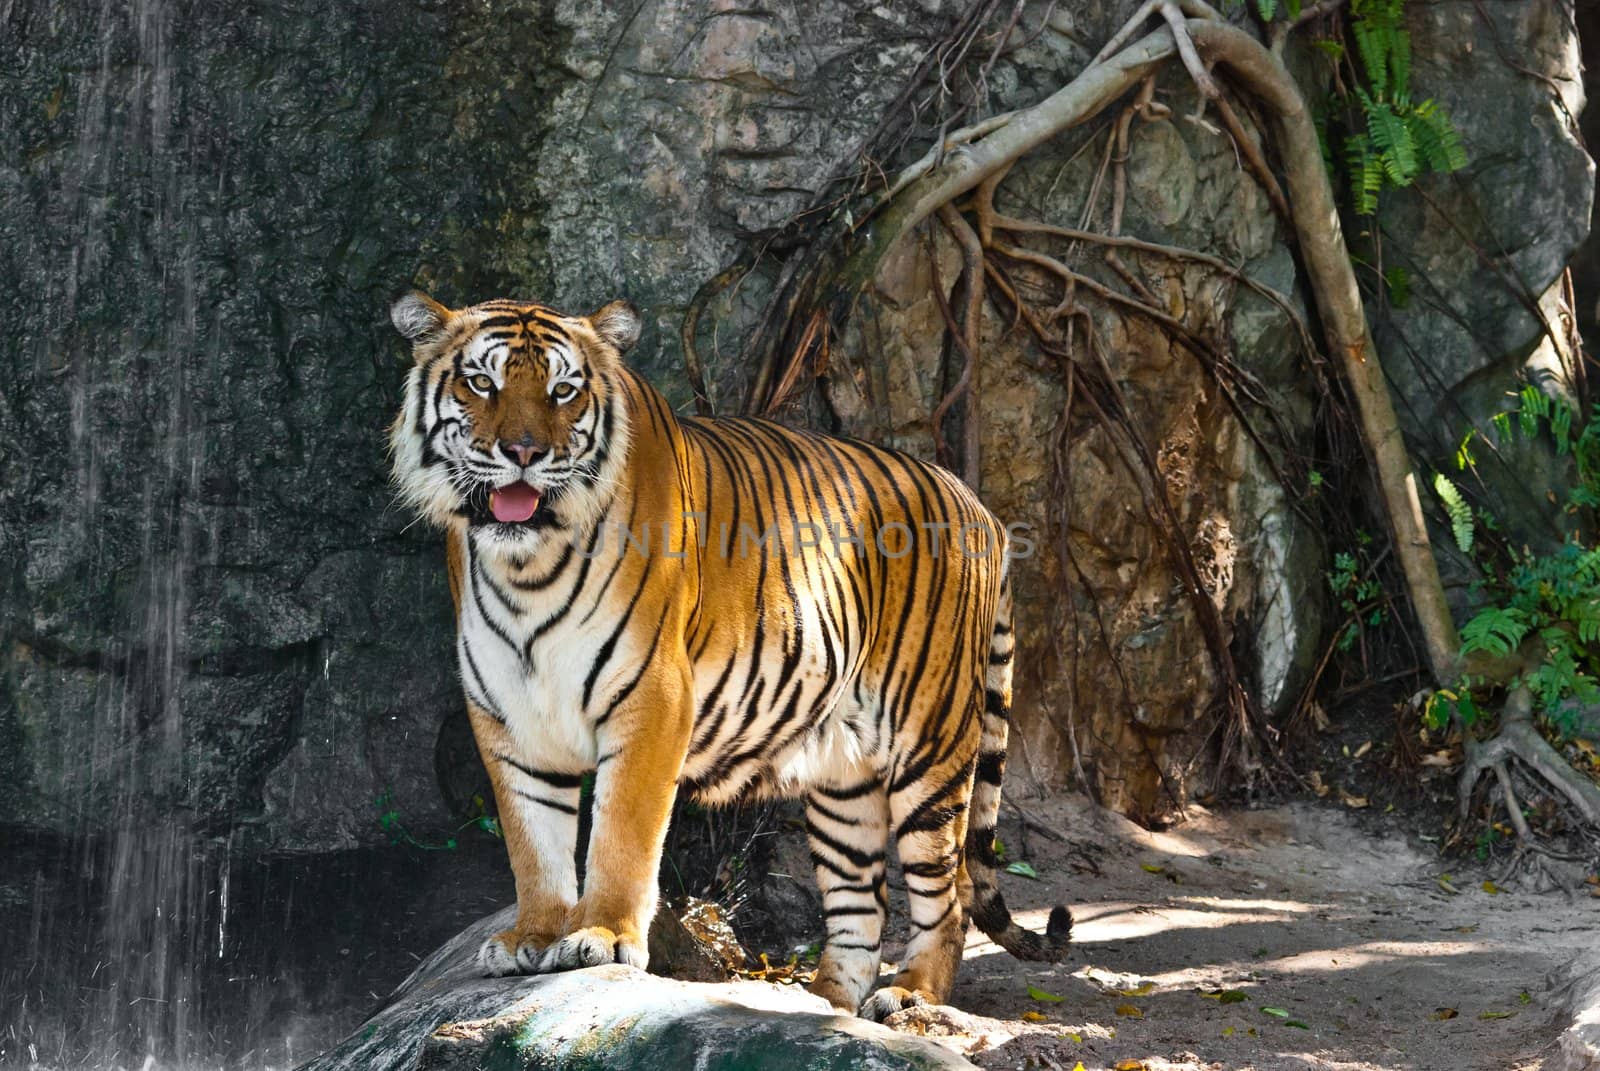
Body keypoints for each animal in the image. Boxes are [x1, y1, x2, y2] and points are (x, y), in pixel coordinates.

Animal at [384, 288, 1075, 1018]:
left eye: (563, 390)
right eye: (480, 382)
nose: (522, 450)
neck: (527, 567)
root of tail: (982, 509)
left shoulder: (652, 699)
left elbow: (621, 833)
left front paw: (603, 935)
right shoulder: (510, 718)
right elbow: (532, 842)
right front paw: (532, 937)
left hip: (929, 748)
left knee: (944, 896)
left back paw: (911, 993)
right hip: (844, 779)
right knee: (861, 903)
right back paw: (821, 1005)